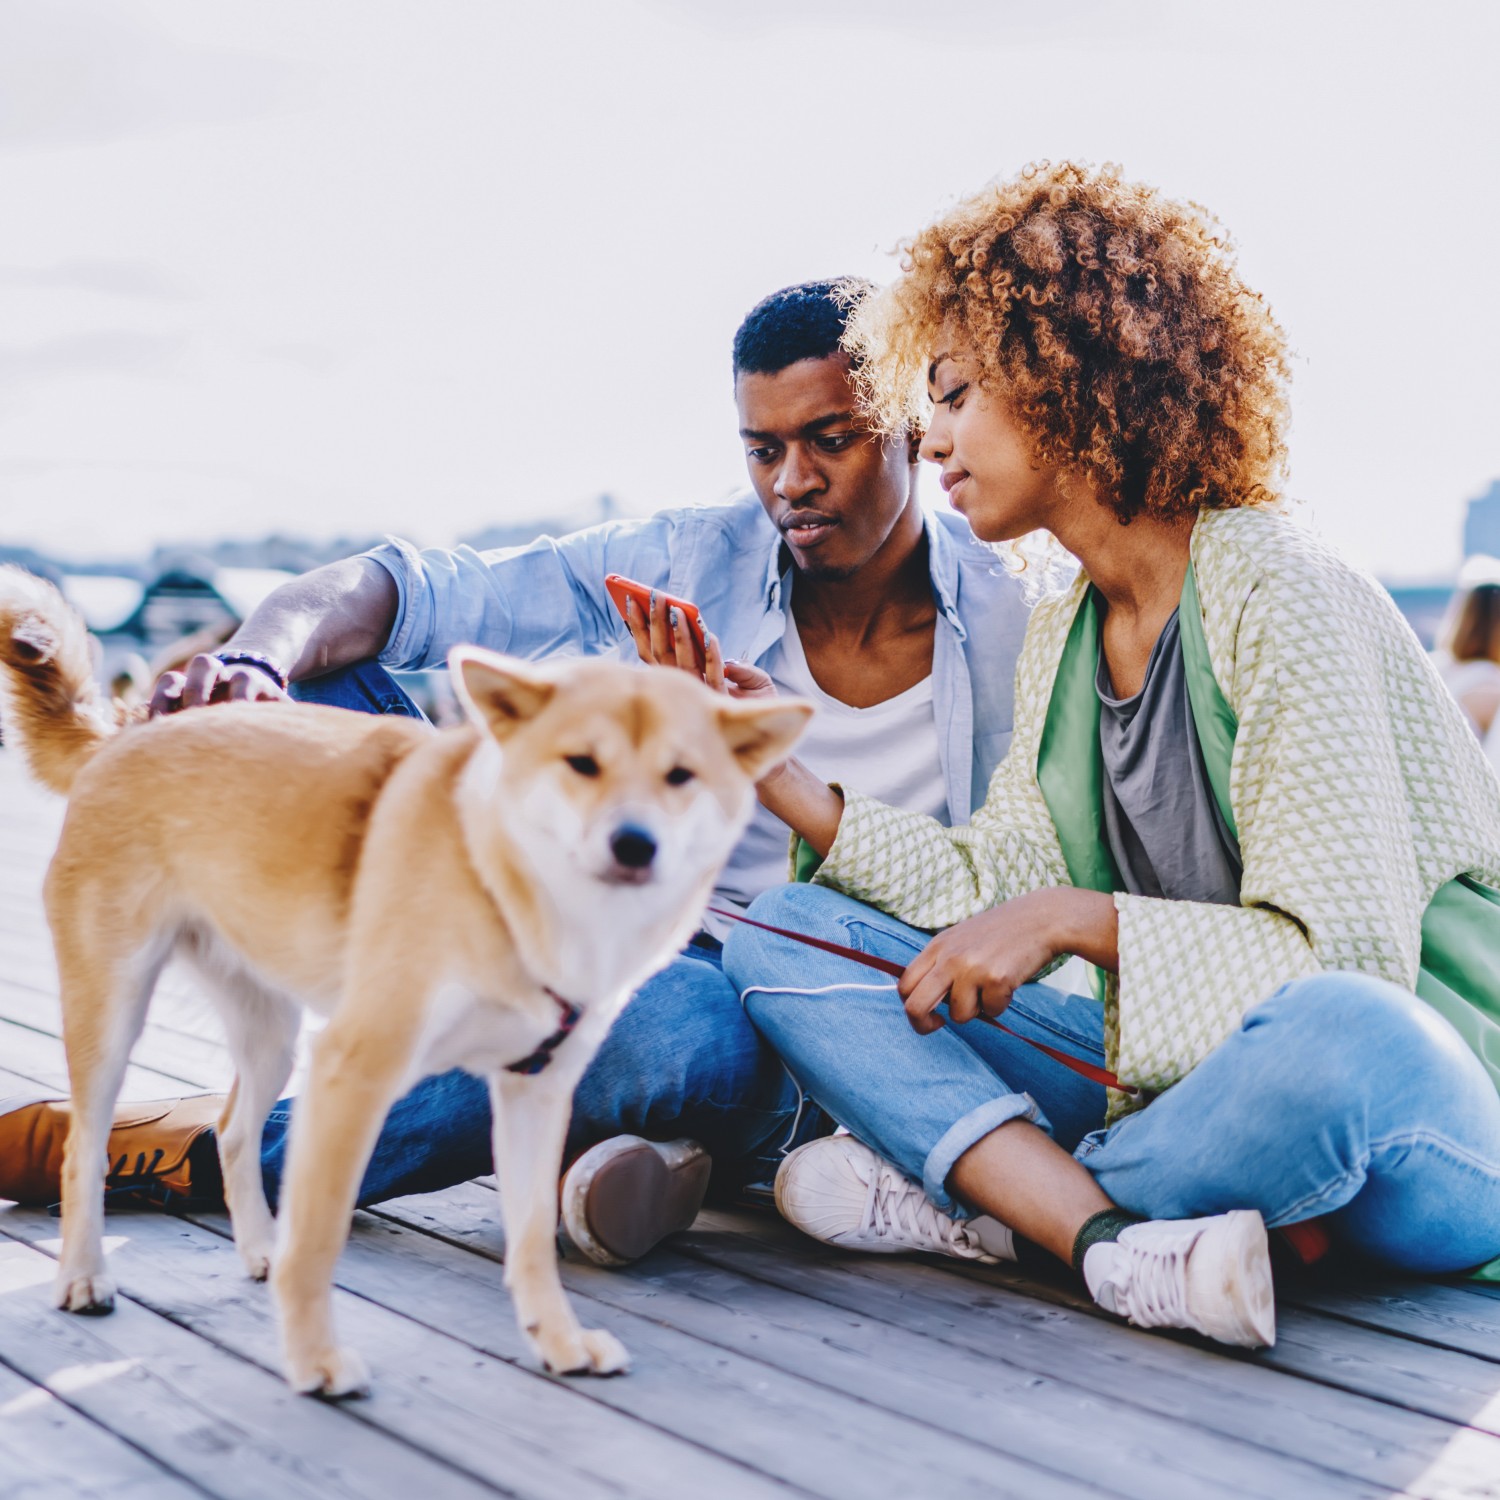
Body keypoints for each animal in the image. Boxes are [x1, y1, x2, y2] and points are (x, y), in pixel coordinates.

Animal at [0, 570, 810, 1392]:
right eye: (581, 763)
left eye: (682, 776)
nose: (635, 844)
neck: (509, 889)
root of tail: (133, 728)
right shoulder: (355, 1070)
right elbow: (320, 1236)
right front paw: (316, 1360)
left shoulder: (535, 1092)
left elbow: (530, 1243)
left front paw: (557, 1340)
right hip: (116, 1015)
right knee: (87, 1147)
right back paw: (84, 1274)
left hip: (272, 1035)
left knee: (231, 1131)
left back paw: (258, 1251)